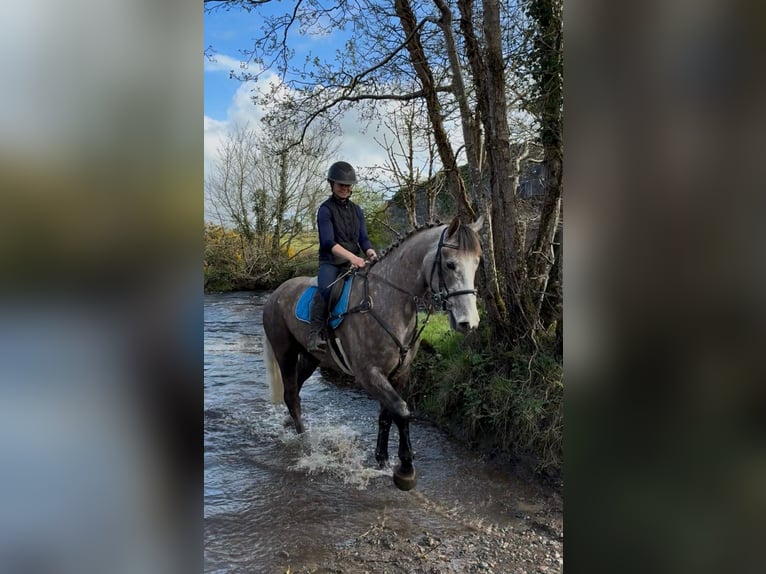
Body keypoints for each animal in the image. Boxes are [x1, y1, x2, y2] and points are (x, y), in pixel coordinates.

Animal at [262, 215, 484, 491]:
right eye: (451, 264)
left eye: (477, 263)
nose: (469, 322)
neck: (388, 301)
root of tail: (277, 292)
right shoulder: (369, 375)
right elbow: (402, 411)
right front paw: (405, 471)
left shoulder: (399, 373)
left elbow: (386, 416)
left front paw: (382, 460)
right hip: (286, 354)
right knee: (292, 394)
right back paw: (306, 443)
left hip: (311, 357)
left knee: (294, 391)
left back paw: (290, 425)